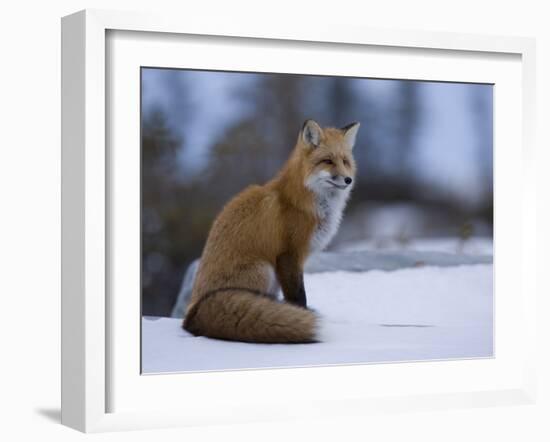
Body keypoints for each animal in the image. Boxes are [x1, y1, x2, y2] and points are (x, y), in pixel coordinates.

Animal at [183, 119, 360, 344]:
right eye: (327, 161)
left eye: (345, 161)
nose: (348, 180)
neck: (302, 202)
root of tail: (192, 313)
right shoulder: (289, 255)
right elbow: (297, 296)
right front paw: (301, 316)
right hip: (264, 269)